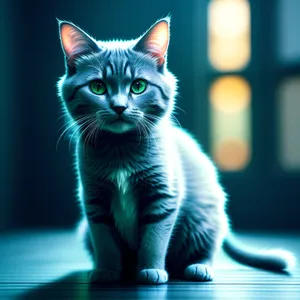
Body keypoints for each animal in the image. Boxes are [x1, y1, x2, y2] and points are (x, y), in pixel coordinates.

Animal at [56, 17, 296, 284]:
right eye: (97, 87)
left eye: (138, 86)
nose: (119, 107)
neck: (120, 149)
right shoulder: (94, 200)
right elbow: (104, 241)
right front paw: (106, 271)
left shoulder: (163, 195)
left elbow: (154, 239)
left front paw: (151, 270)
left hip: (204, 218)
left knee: (206, 249)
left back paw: (199, 268)